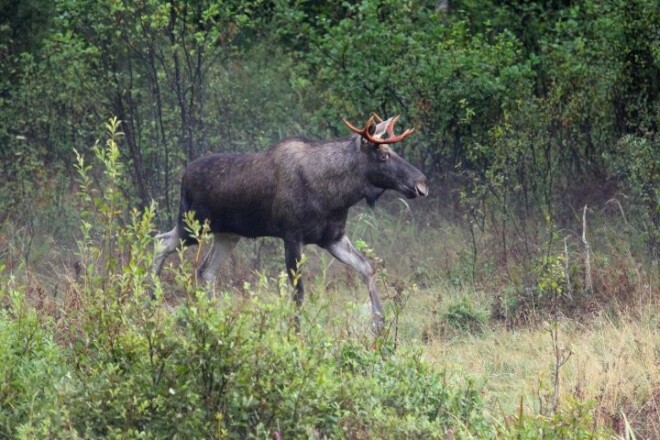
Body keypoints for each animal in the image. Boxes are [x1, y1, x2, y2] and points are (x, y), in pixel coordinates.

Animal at [155, 114, 430, 334]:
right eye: (384, 155)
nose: (422, 184)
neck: (338, 193)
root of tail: (184, 176)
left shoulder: (333, 237)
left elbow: (367, 267)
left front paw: (379, 324)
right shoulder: (292, 235)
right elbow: (298, 292)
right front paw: (295, 333)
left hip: (228, 234)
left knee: (205, 271)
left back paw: (210, 315)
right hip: (192, 225)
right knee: (161, 242)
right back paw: (151, 299)